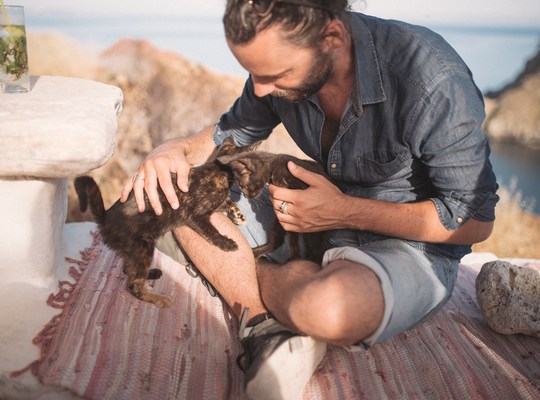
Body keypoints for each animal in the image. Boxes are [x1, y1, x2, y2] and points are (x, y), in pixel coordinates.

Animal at [75, 137, 258, 306]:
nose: (251, 192)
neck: (218, 170)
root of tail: (105, 218)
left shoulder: (215, 205)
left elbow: (228, 202)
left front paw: (239, 216)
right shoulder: (196, 216)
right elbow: (212, 232)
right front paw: (227, 243)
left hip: (135, 251)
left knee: (128, 270)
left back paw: (152, 274)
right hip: (143, 247)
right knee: (133, 285)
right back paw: (160, 299)